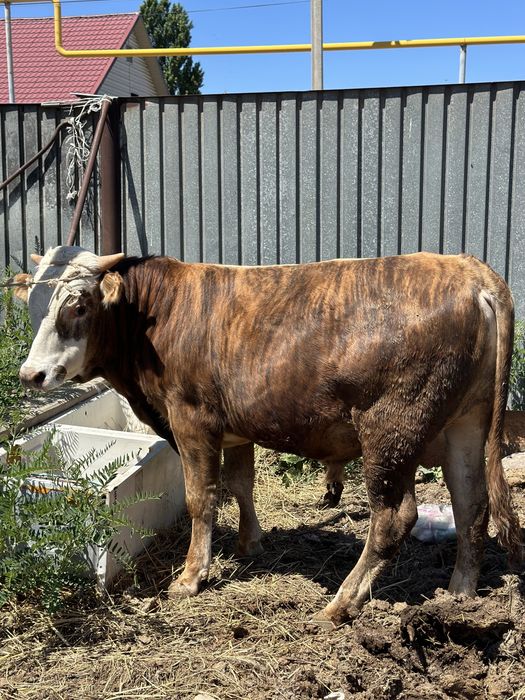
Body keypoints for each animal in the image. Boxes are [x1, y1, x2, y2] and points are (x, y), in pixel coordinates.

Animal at [12, 246, 522, 627]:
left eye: (77, 306)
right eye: (36, 306)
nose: (30, 375)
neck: (154, 318)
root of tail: (471, 271)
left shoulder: (190, 419)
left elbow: (202, 497)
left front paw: (191, 577)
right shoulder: (236, 429)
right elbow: (241, 484)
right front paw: (250, 544)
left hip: (391, 431)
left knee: (395, 516)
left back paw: (341, 603)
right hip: (465, 425)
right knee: (471, 503)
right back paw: (458, 595)